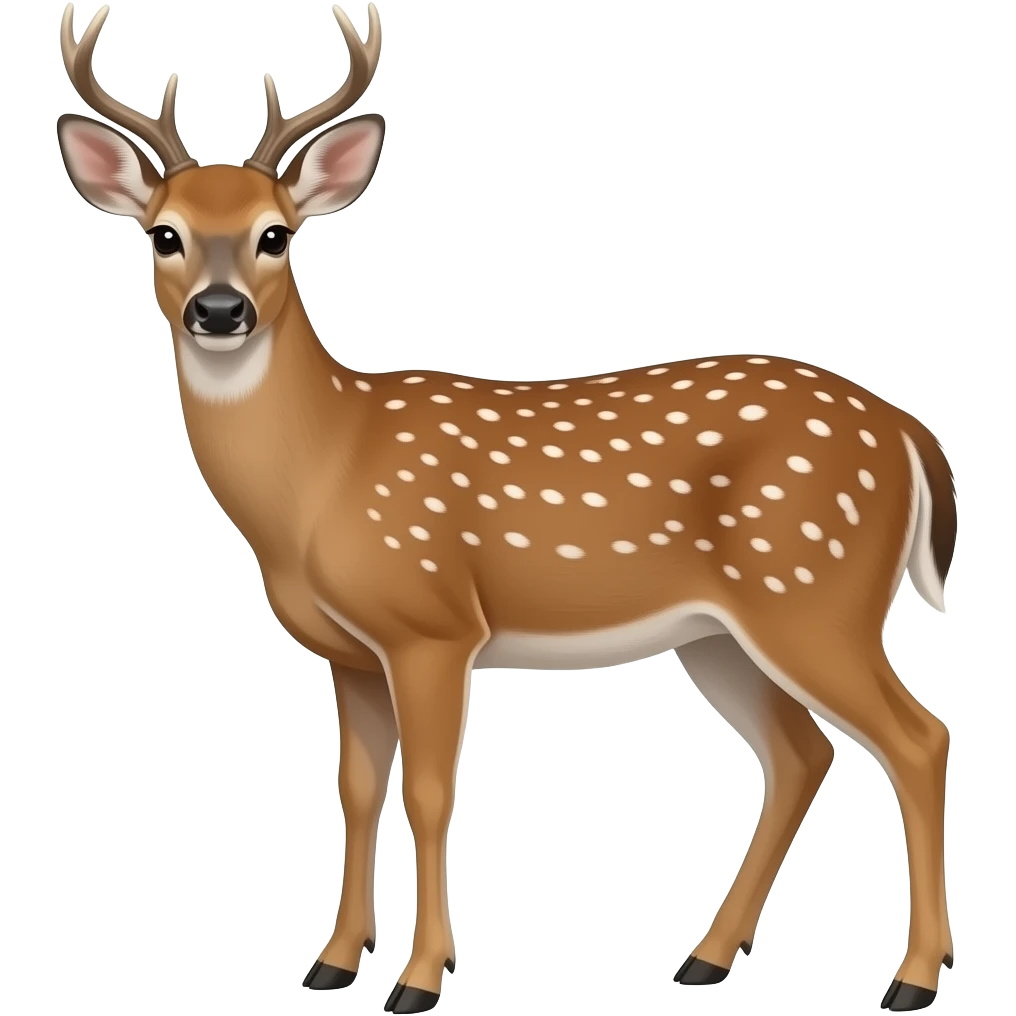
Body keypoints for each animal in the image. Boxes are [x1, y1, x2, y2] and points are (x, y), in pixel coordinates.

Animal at [55, 3, 958, 1012]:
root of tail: (909, 433)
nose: (220, 312)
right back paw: (706, 959)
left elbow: (429, 791)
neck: (326, 473)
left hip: (815, 591)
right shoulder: (350, 652)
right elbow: (357, 790)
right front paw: (332, 963)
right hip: (721, 633)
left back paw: (911, 979)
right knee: (802, 753)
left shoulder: (434, 623)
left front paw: (418, 979)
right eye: (165, 234)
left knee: (917, 738)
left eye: (276, 235)